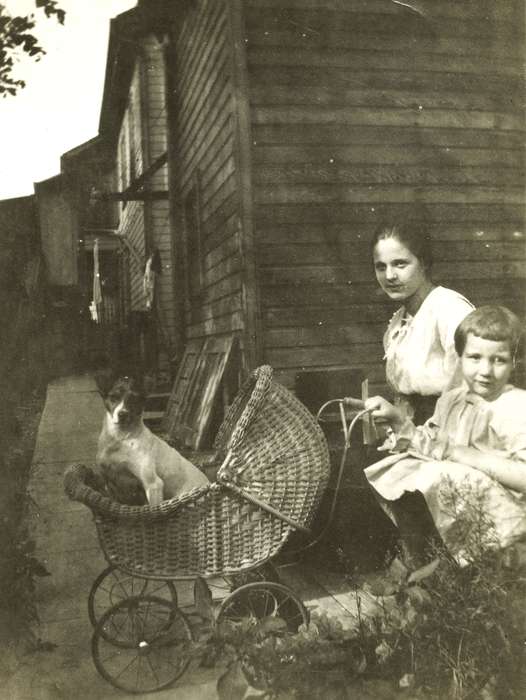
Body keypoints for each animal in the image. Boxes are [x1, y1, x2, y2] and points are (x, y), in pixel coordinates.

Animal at [95, 374, 210, 506]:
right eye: (113, 397)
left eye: (134, 399)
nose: (123, 414)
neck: (121, 439)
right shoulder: (109, 482)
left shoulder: (153, 484)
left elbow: (153, 508)